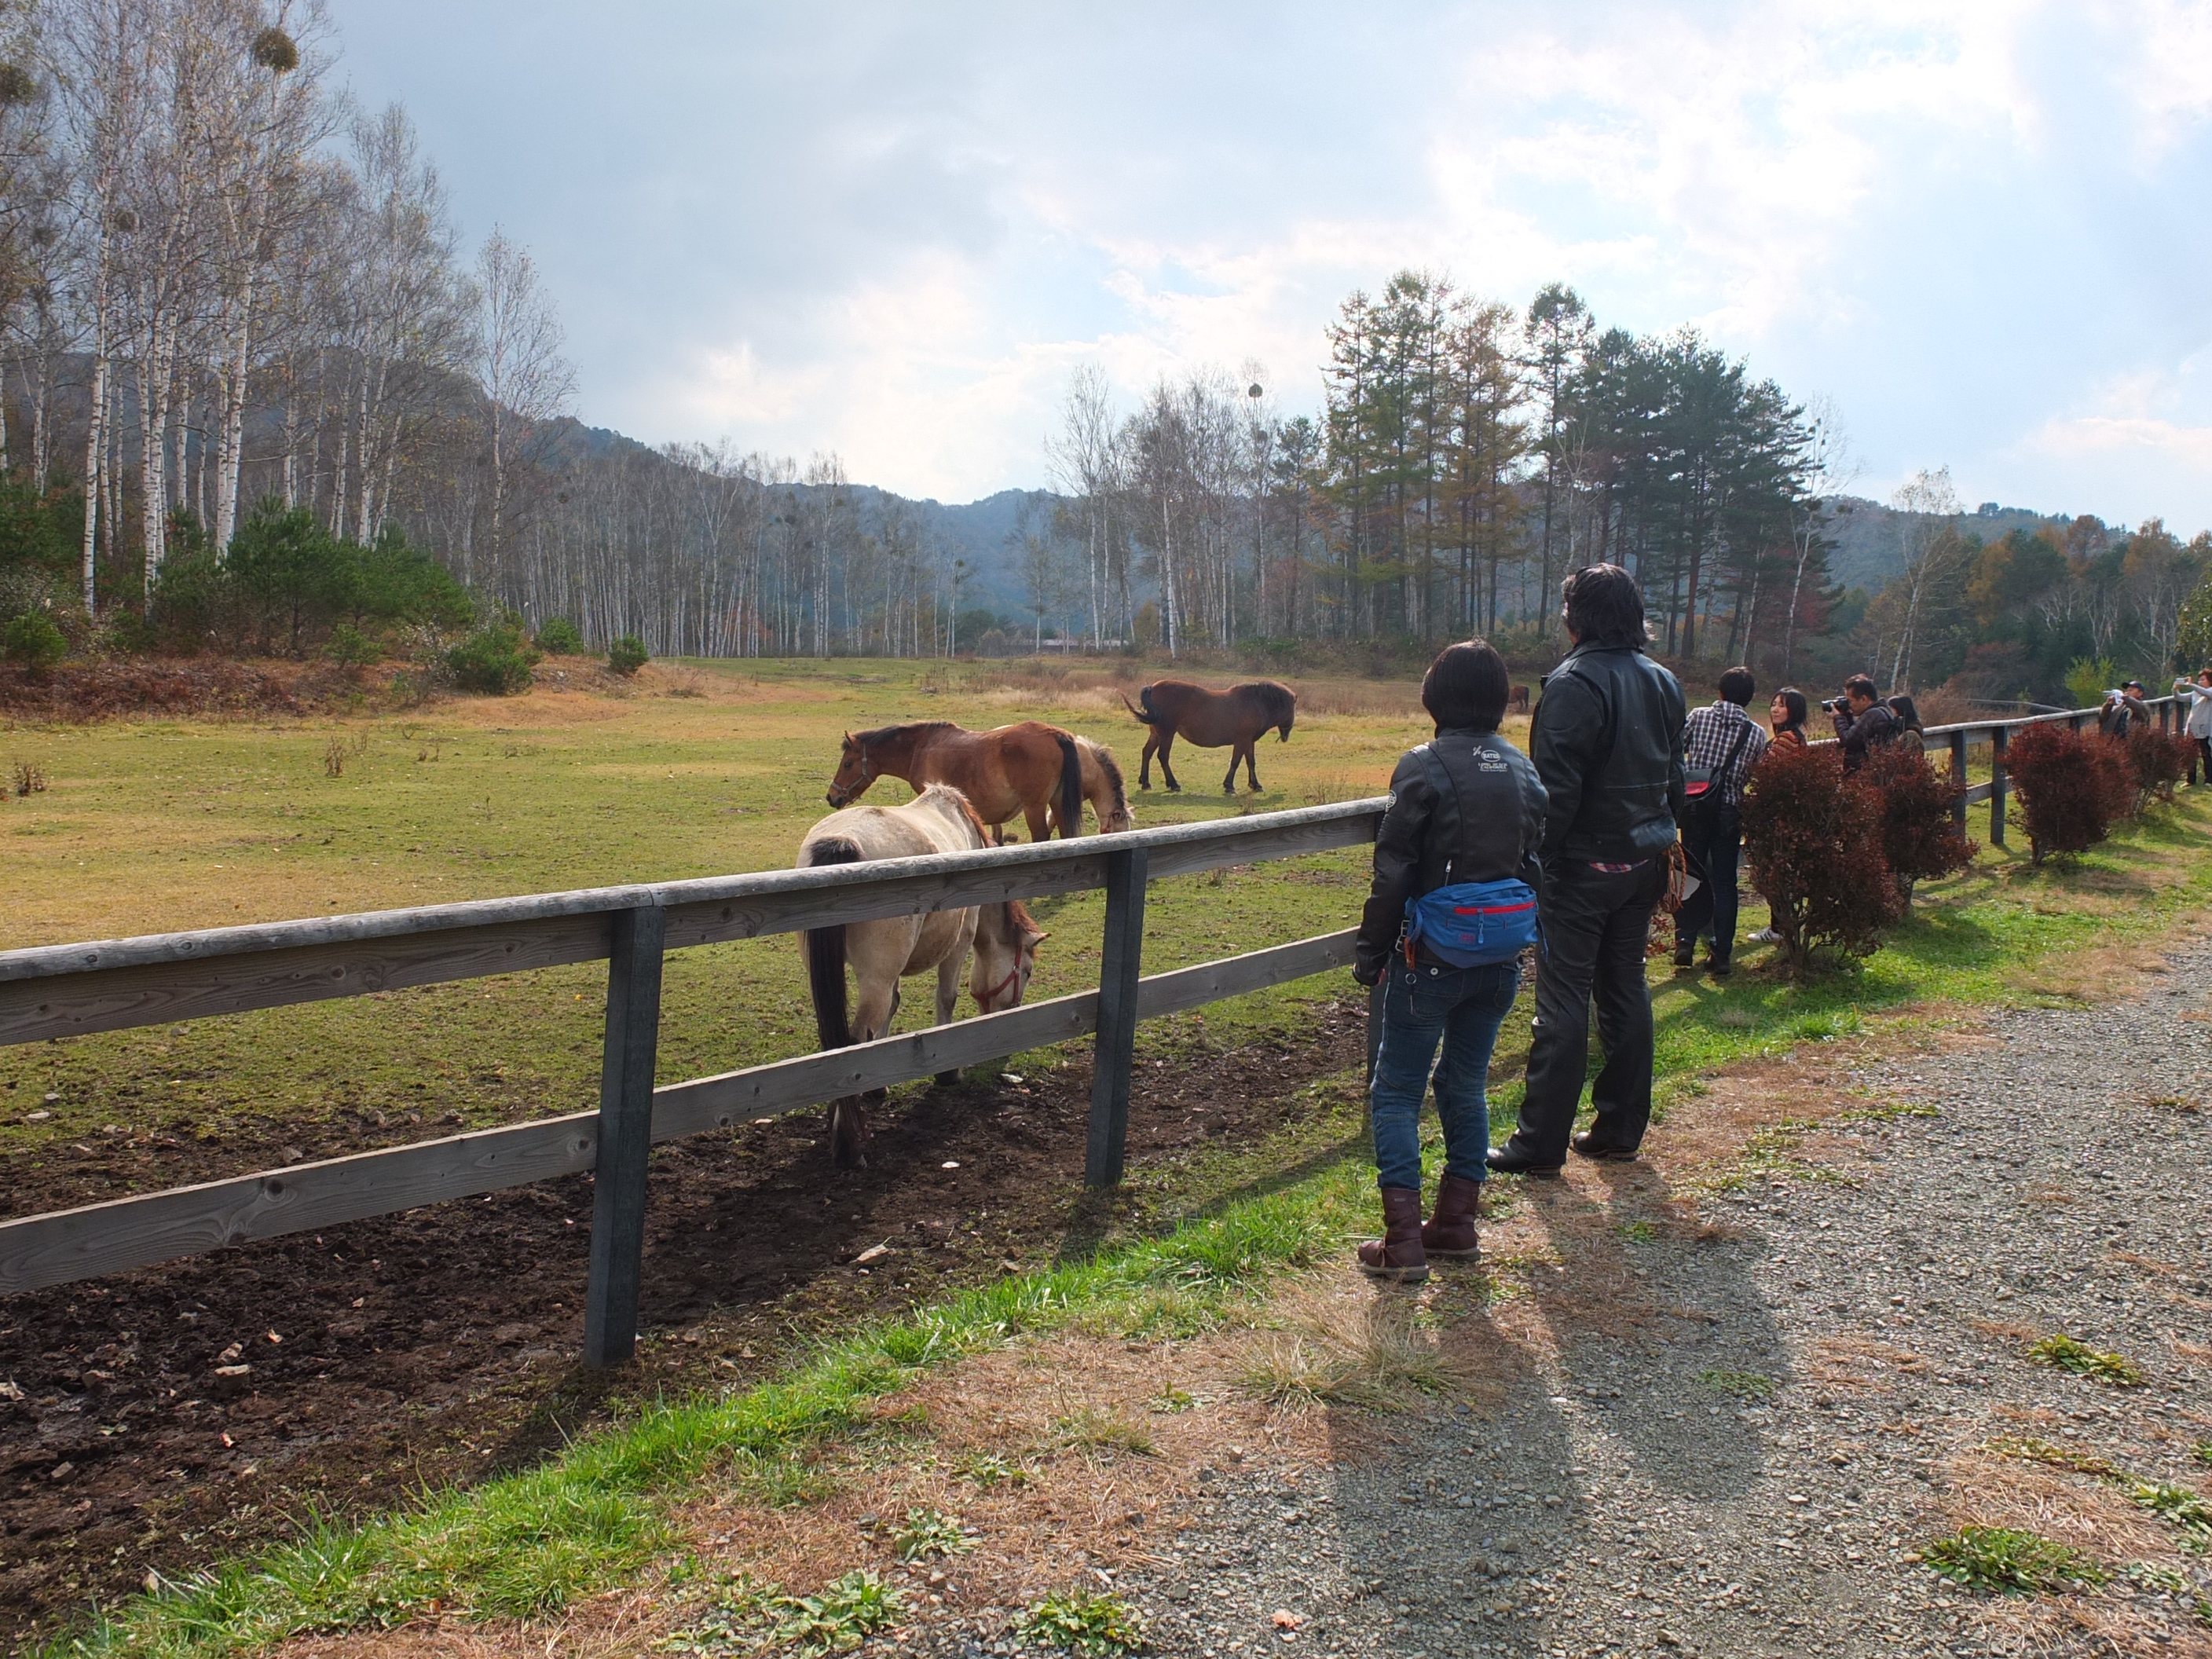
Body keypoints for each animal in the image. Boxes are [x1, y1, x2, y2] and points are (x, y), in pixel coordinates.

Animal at [798, 784, 1046, 1166]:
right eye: (1029, 972)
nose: (1012, 1015)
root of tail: (842, 843)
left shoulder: (893, 975)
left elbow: (892, 1008)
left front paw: (877, 1086)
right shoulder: (959, 944)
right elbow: (946, 999)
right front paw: (947, 1073)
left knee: (834, 1038)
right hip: (875, 979)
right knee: (851, 1041)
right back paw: (848, 1144)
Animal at [826, 720, 1085, 842]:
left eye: (847, 764)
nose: (832, 796)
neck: (921, 747)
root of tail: (1054, 734)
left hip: (1035, 807)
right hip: (1057, 802)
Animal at [1119, 678, 1297, 794]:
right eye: (1292, 709)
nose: (1286, 735)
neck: (1255, 702)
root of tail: (1153, 687)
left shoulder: (1249, 741)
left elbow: (1251, 763)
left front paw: (1255, 785)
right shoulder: (1242, 741)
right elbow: (1235, 762)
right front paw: (1229, 785)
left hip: (1157, 734)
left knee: (1147, 752)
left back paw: (1145, 782)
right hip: (1167, 733)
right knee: (1162, 756)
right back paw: (1173, 784)